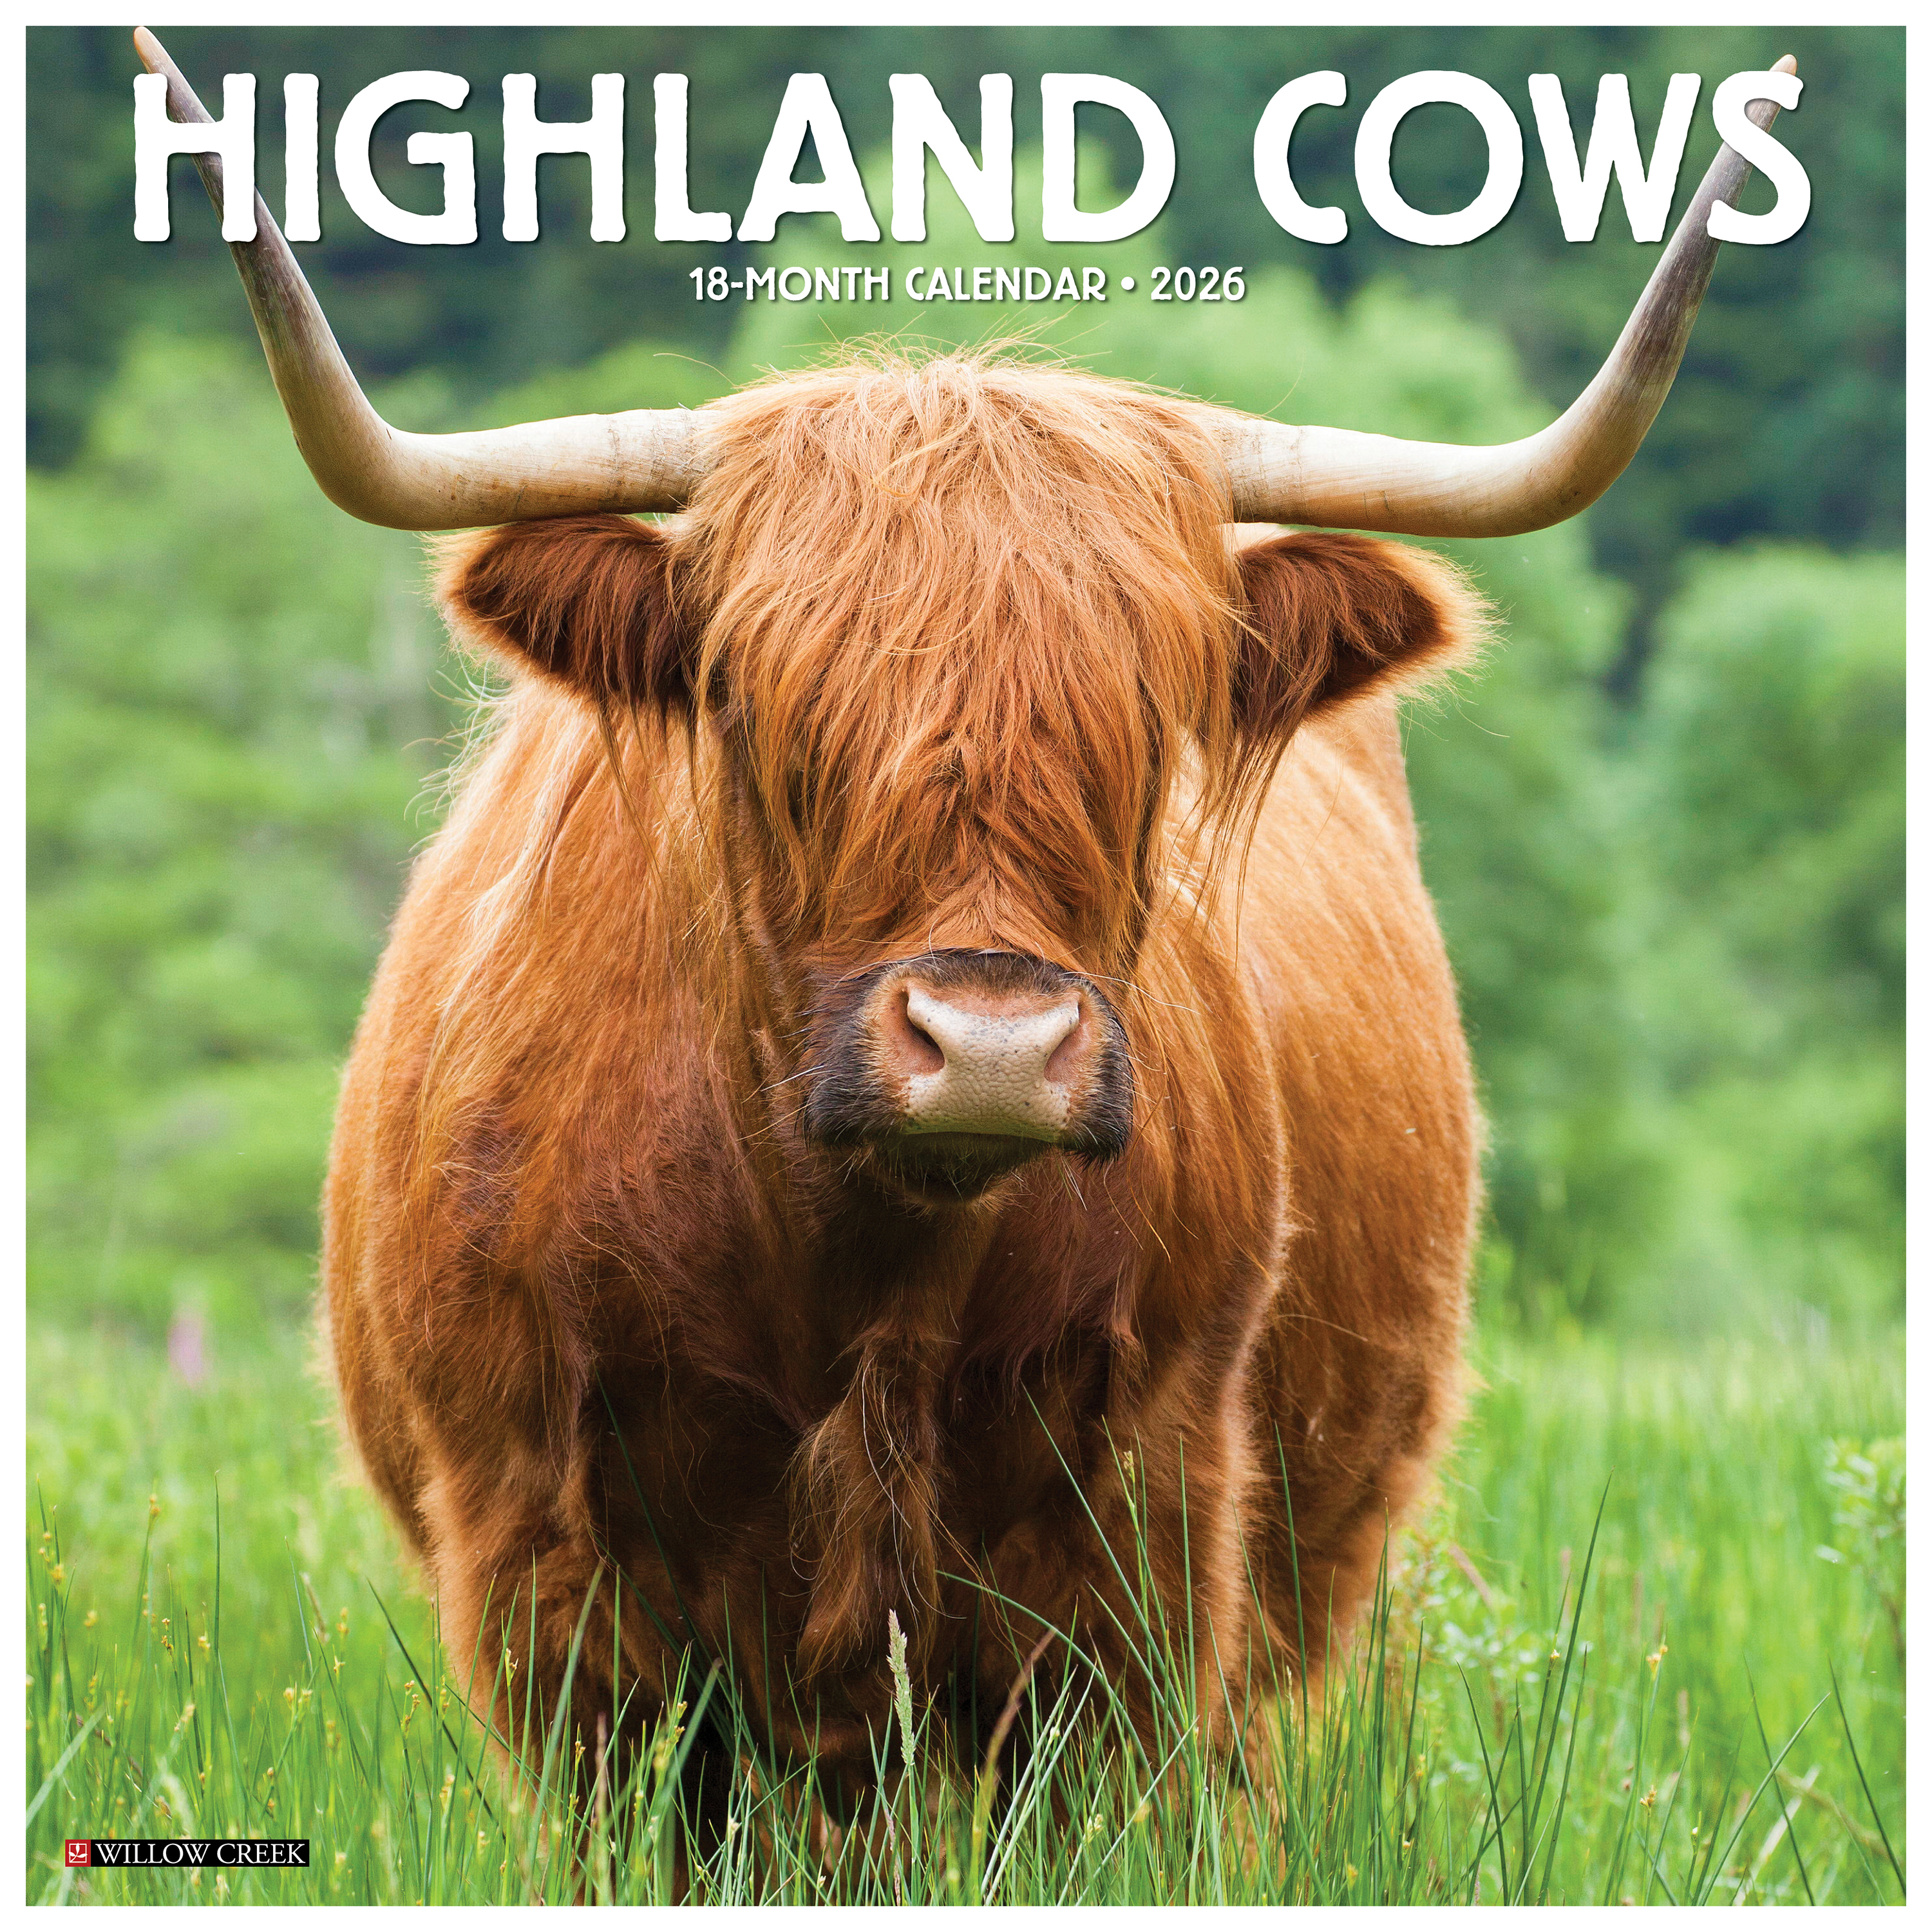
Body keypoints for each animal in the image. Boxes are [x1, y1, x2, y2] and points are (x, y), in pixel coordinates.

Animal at [135, 25, 1794, 1834]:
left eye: (1155, 714)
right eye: (751, 697)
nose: (993, 1046)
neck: (862, 1269)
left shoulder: (1143, 1550)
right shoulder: (553, 1576)